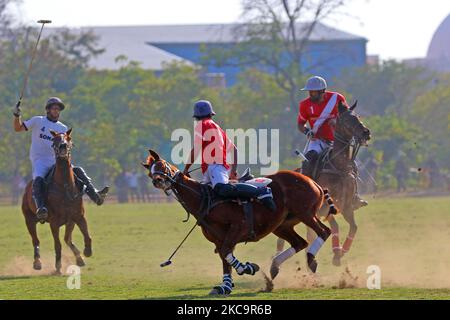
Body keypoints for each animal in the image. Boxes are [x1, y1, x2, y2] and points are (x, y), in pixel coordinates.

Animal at [21, 129, 92, 274]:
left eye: (68, 138)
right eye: (54, 140)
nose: (63, 146)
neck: (65, 186)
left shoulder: (78, 216)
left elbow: (87, 235)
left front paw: (87, 251)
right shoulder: (54, 222)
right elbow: (57, 244)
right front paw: (58, 266)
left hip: (70, 222)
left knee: (67, 239)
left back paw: (79, 259)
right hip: (29, 219)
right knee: (35, 240)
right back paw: (37, 262)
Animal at [142, 149, 336, 296]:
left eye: (161, 165)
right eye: (150, 171)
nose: (157, 181)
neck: (205, 199)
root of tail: (314, 183)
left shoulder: (238, 227)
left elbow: (227, 254)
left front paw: (248, 268)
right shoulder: (219, 238)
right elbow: (225, 258)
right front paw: (225, 286)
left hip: (306, 213)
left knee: (324, 231)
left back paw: (310, 259)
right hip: (282, 225)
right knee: (299, 242)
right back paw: (274, 267)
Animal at [278, 101, 372, 266]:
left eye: (358, 116)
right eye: (347, 120)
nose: (366, 133)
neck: (339, 167)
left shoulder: (346, 206)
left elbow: (353, 227)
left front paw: (341, 252)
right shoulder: (325, 207)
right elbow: (335, 226)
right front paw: (336, 253)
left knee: (310, 235)